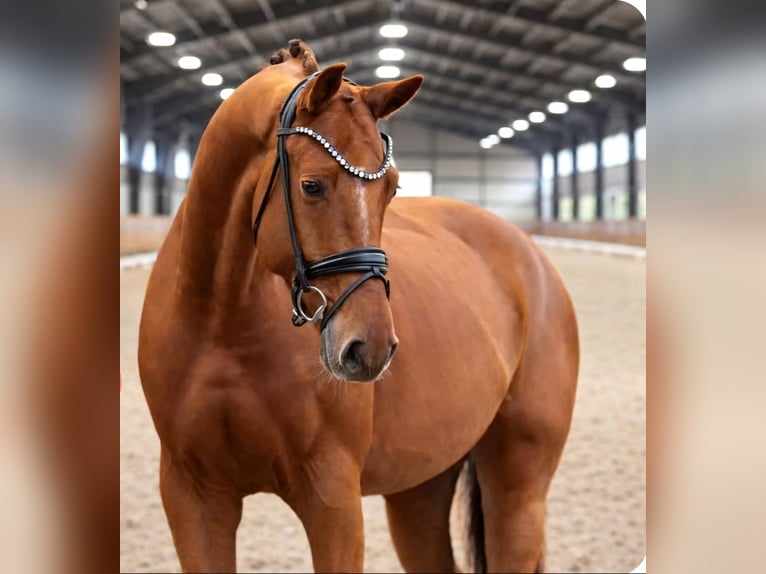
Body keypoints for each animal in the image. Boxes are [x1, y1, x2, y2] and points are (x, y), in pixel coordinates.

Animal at [138, 39, 578, 573]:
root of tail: (532, 258)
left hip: (518, 484)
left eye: (392, 188)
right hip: (420, 488)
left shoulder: (332, 498)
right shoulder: (193, 495)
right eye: (311, 185)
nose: (370, 347)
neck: (222, 325)